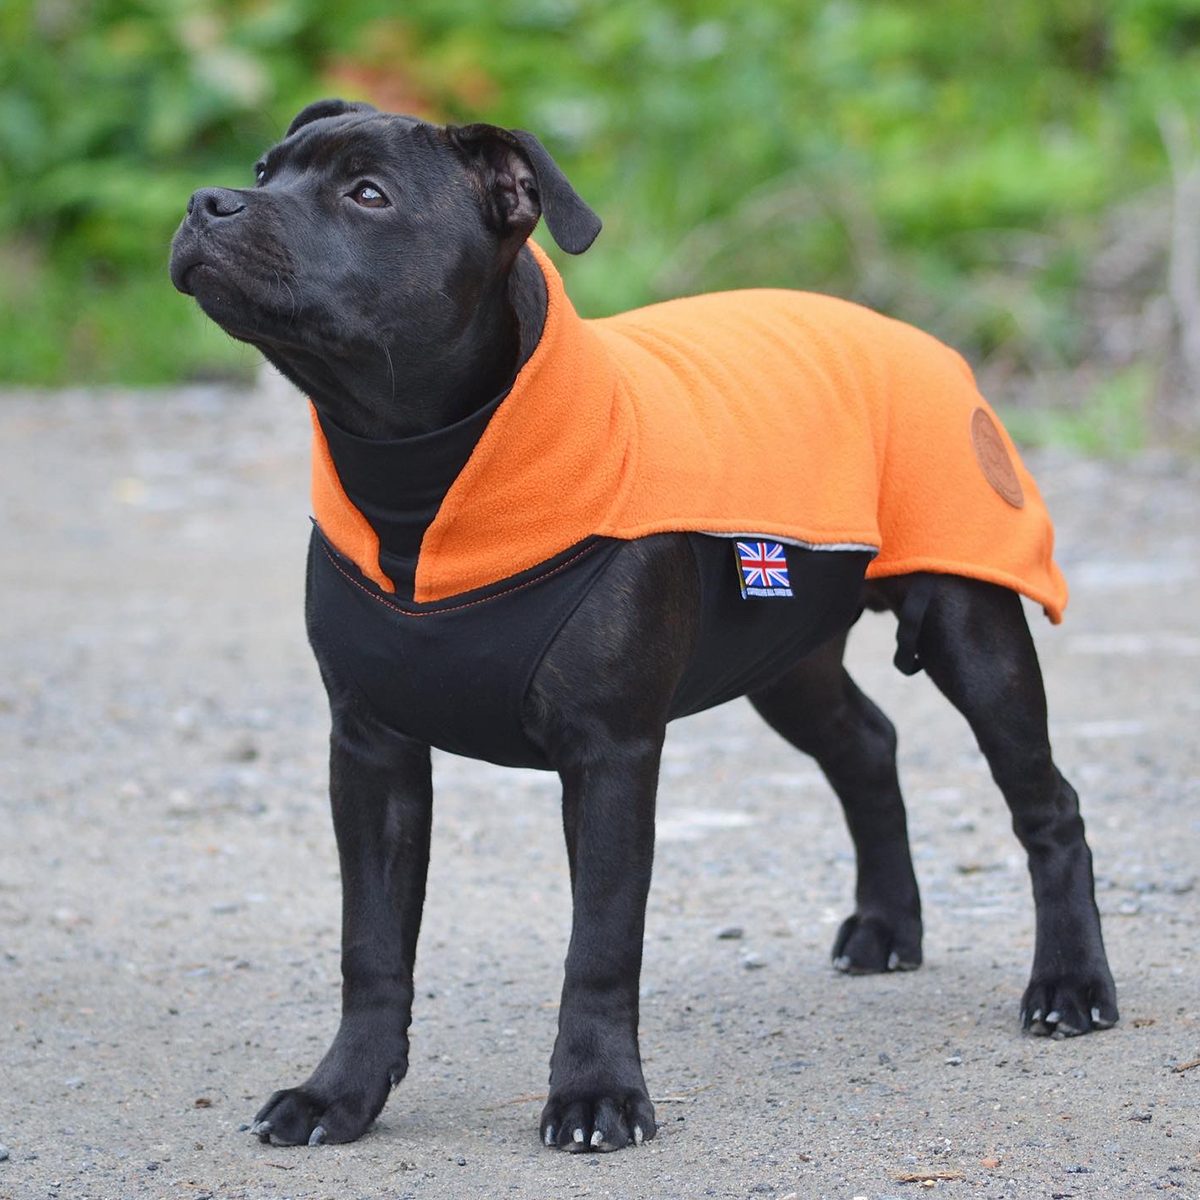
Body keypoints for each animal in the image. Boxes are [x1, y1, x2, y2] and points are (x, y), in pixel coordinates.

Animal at [166, 100, 1113, 1152]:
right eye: (265, 170)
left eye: (367, 194)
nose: (208, 201)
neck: (424, 472)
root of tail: (921, 341)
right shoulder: (371, 753)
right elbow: (370, 946)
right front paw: (342, 1092)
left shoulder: (610, 753)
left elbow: (601, 942)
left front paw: (595, 1094)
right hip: (785, 657)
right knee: (867, 745)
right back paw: (887, 927)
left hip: (972, 634)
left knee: (1048, 803)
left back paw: (1070, 985)